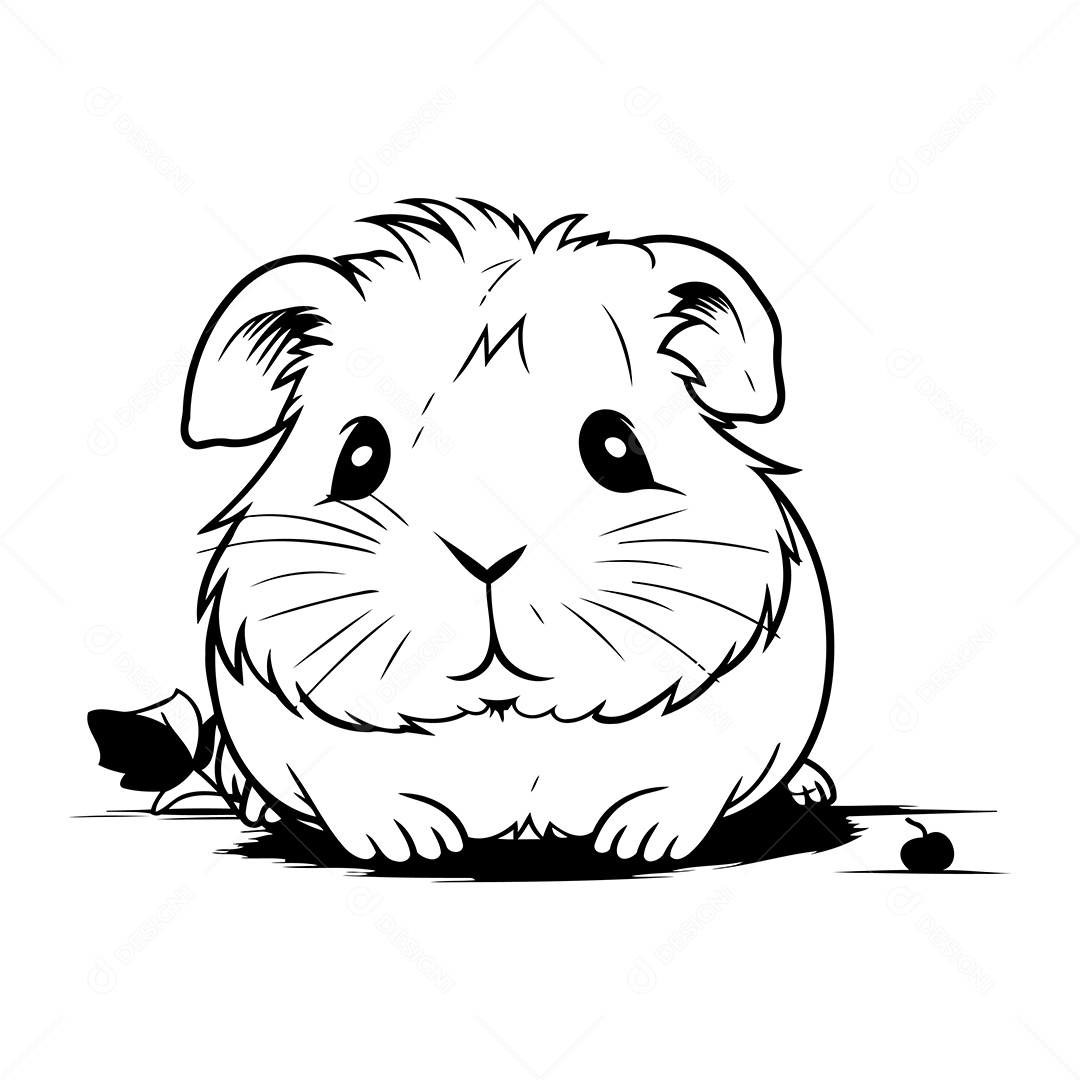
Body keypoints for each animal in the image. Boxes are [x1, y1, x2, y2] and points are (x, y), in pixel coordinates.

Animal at [182, 198, 835, 863]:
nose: (487, 559)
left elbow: (699, 776)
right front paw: (410, 842)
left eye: (617, 448)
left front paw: (641, 842)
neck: (508, 718)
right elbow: (342, 782)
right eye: (360, 457)